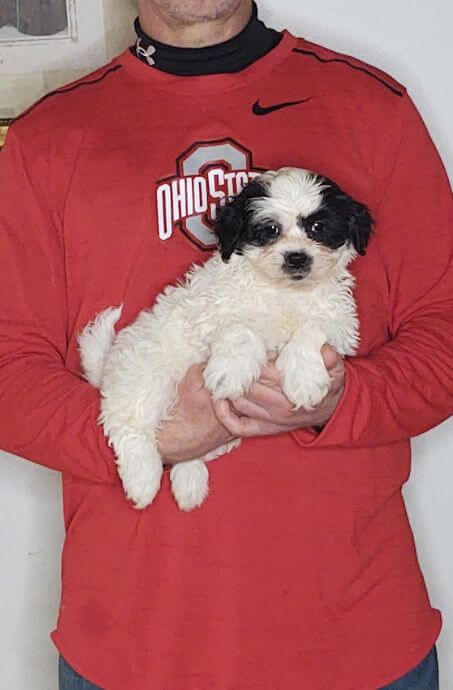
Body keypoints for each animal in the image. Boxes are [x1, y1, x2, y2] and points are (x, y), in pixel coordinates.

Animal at [77, 167, 370, 510]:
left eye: (318, 227)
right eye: (270, 230)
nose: (296, 258)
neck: (284, 292)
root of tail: (108, 365)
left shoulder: (340, 321)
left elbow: (311, 329)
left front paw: (304, 379)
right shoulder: (215, 309)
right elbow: (242, 328)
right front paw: (231, 371)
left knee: (190, 452)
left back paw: (189, 481)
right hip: (147, 374)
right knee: (127, 422)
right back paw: (143, 478)